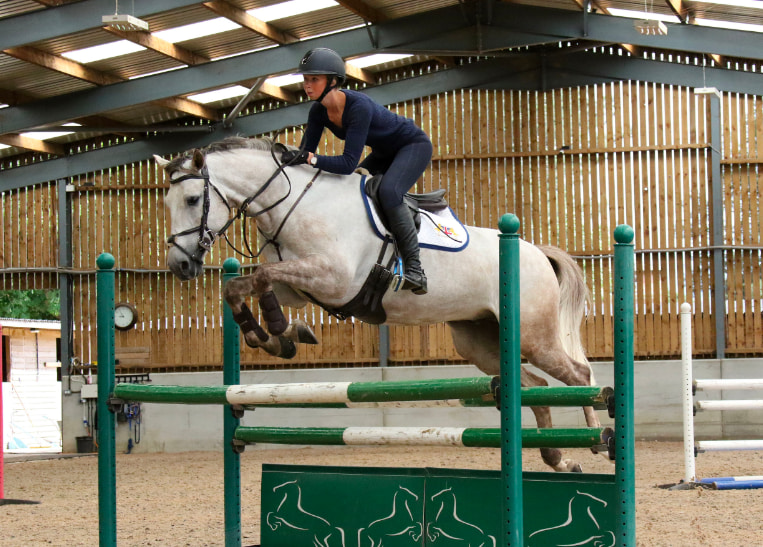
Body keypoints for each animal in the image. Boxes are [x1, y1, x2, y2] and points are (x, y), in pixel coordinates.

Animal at [155, 136, 600, 472]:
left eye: (193, 199)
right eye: (167, 204)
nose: (180, 265)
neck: (295, 202)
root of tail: (535, 250)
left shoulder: (332, 279)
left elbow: (260, 277)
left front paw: (278, 333)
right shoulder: (299, 286)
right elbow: (244, 285)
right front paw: (276, 336)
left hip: (533, 335)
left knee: (578, 375)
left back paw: (598, 441)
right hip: (480, 341)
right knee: (535, 386)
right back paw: (557, 457)